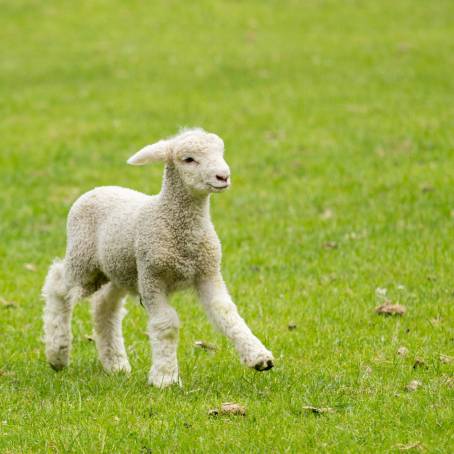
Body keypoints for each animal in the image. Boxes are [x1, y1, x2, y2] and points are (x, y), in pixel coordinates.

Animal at [42, 127, 274, 386]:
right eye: (188, 159)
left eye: (220, 152)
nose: (223, 176)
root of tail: (95, 190)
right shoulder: (152, 277)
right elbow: (166, 324)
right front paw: (165, 377)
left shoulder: (207, 272)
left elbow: (226, 312)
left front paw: (259, 357)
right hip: (84, 260)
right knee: (57, 285)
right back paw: (57, 353)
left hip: (120, 270)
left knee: (105, 306)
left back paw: (115, 363)